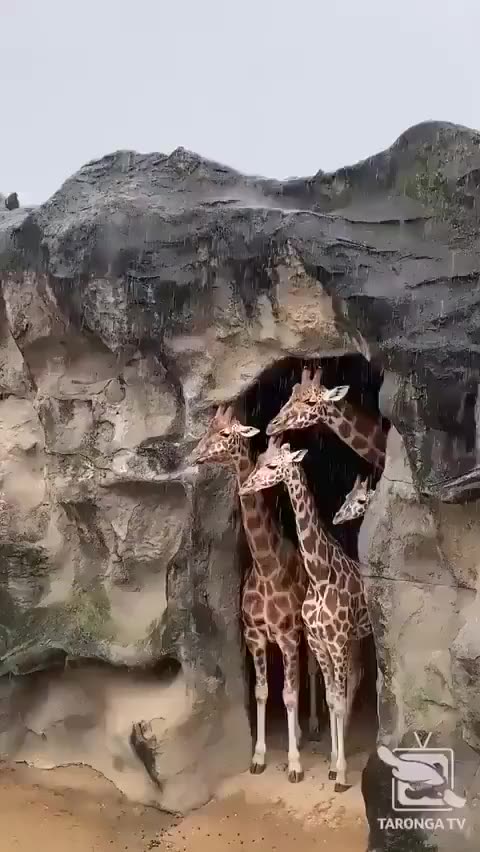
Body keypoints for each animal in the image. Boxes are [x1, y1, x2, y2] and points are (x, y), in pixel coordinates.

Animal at [188, 405, 320, 782]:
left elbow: (289, 693)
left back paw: (312, 727)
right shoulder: (255, 637)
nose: (194, 455)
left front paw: (294, 764)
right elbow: (262, 692)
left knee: (309, 673)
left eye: (224, 434)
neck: (265, 566)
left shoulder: (289, 635)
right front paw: (259, 757)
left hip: (305, 635)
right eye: (207, 428)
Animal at [239, 438, 372, 791]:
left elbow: (332, 697)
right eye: (262, 458)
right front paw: (333, 763)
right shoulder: (318, 642)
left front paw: (340, 773)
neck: (320, 576)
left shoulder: (333, 642)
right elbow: (331, 698)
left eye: (274, 466)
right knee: (353, 680)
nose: (247, 485)